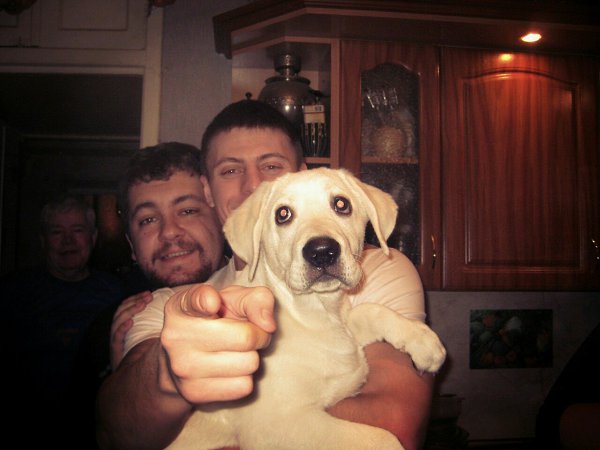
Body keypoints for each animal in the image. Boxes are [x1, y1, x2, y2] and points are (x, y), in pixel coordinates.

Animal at [167, 167, 446, 450]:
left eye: (342, 204)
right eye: (282, 214)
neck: (315, 314)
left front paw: (422, 341)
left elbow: (369, 310)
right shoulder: (280, 424)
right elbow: (381, 437)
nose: (322, 251)